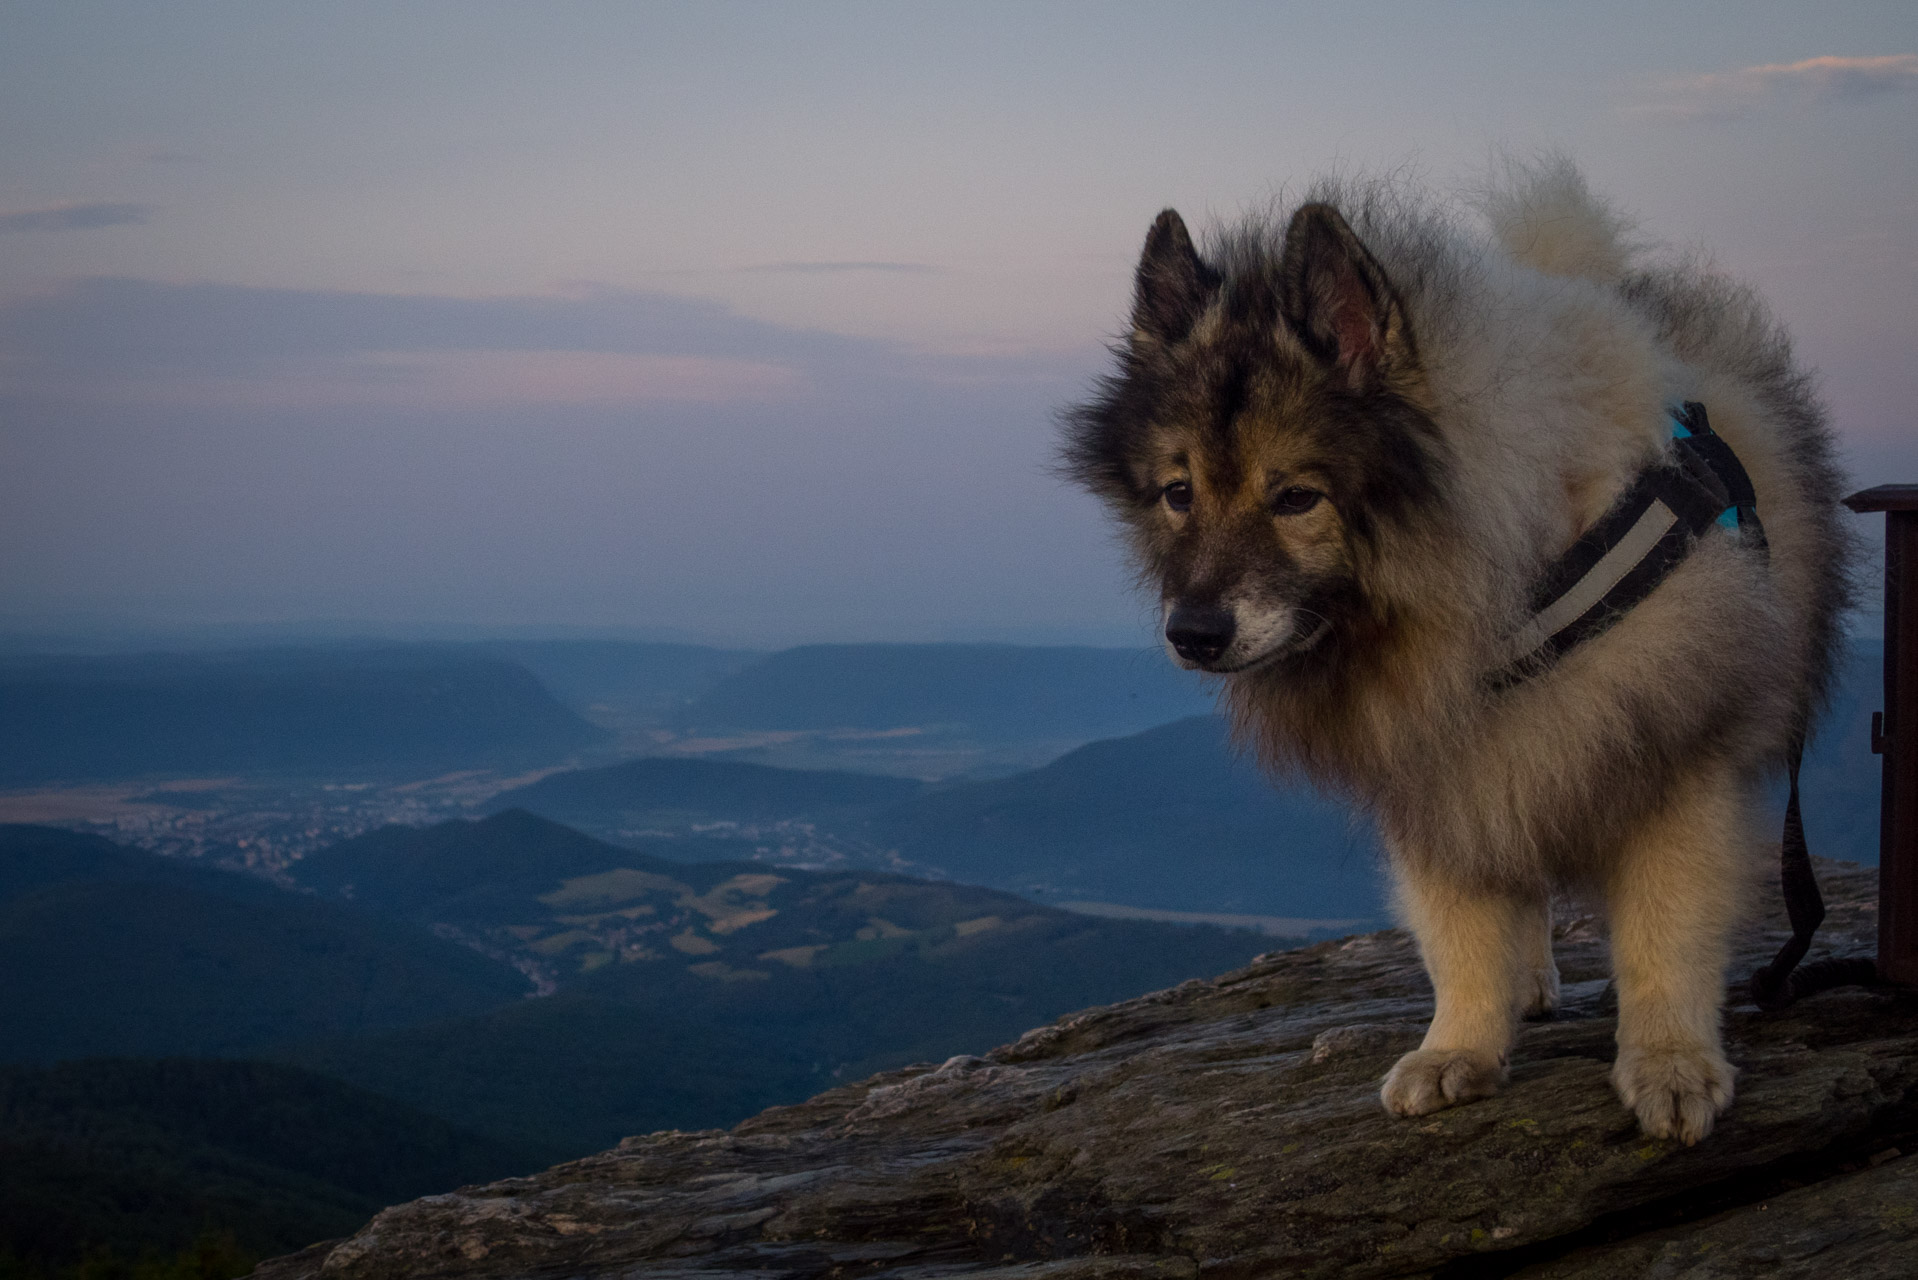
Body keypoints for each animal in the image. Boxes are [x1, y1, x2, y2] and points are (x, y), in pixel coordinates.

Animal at [1066, 155, 1856, 1143]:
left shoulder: (1670, 760)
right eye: (1179, 494)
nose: (1194, 633)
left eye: (1296, 498)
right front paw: (1461, 1048)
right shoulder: (1442, 774)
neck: (1496, 598)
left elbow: (1664, 933)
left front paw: (1670, 1060)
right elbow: (1461, 931)